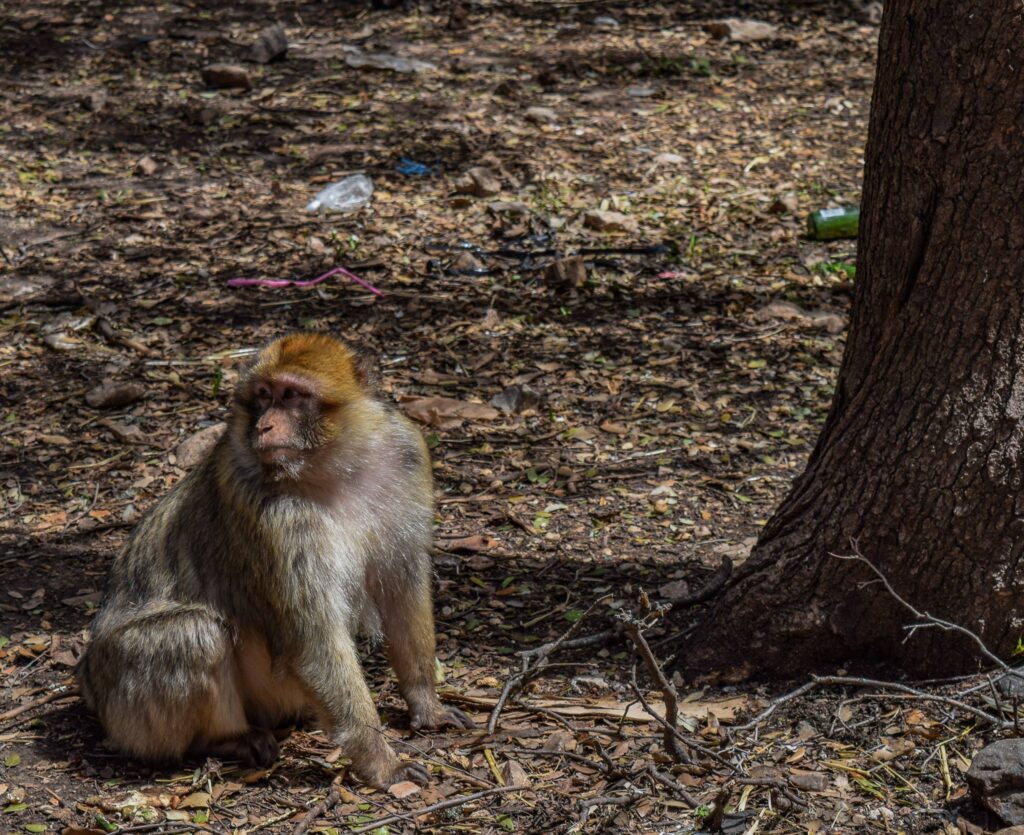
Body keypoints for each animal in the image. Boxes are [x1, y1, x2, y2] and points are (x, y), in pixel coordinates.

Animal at [77, 331, 473, 782]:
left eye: (291, 395)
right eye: (264, 396)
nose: (264, 425)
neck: (335, 468)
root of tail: (88, 680)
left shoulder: (405, 457)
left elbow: (402, 590)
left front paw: (426, 703)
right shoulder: (274, 518)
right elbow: (312, 639)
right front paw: (381, 761)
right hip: (127, 708)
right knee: (194, 633)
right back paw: (226, 740)